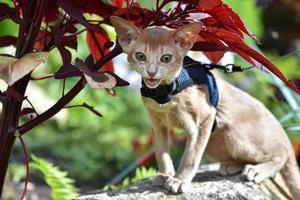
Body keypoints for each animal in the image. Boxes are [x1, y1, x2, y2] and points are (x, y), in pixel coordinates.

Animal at [109, 15, 300, 198]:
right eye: (140, 56)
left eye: (166, 58)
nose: (151, 72)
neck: (166, 93)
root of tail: (282, 132)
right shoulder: (157, 125)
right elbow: (161, 153)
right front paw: (165, 175)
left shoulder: (205, 120)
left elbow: (191, 156)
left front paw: (180, 180)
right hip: (215, 142)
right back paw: (232, 166)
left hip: (235, 135)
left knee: (281, 155)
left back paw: (256, 170)